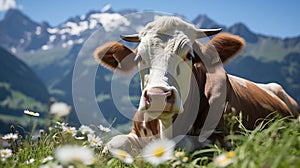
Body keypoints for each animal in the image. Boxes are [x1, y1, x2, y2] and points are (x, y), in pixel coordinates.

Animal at [93, 16, 298, 155]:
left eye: (189, 55)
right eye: (139, 58)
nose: (158, 96)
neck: (167, 127)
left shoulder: (224, 137)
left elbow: (184, 144)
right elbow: (114, 144)